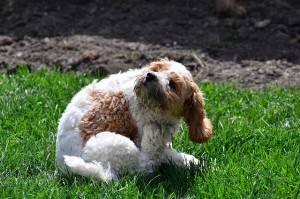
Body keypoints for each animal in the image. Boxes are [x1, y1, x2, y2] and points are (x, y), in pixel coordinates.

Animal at [55, 58, 212, 182]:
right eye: (157, 69)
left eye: (173, 84)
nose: (150, 75)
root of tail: (63, 167)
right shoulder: (140, 133)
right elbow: (155, 157)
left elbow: (165, 152)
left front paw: (187, 161)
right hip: (109, 143)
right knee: (145, 165)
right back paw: (154, 135)